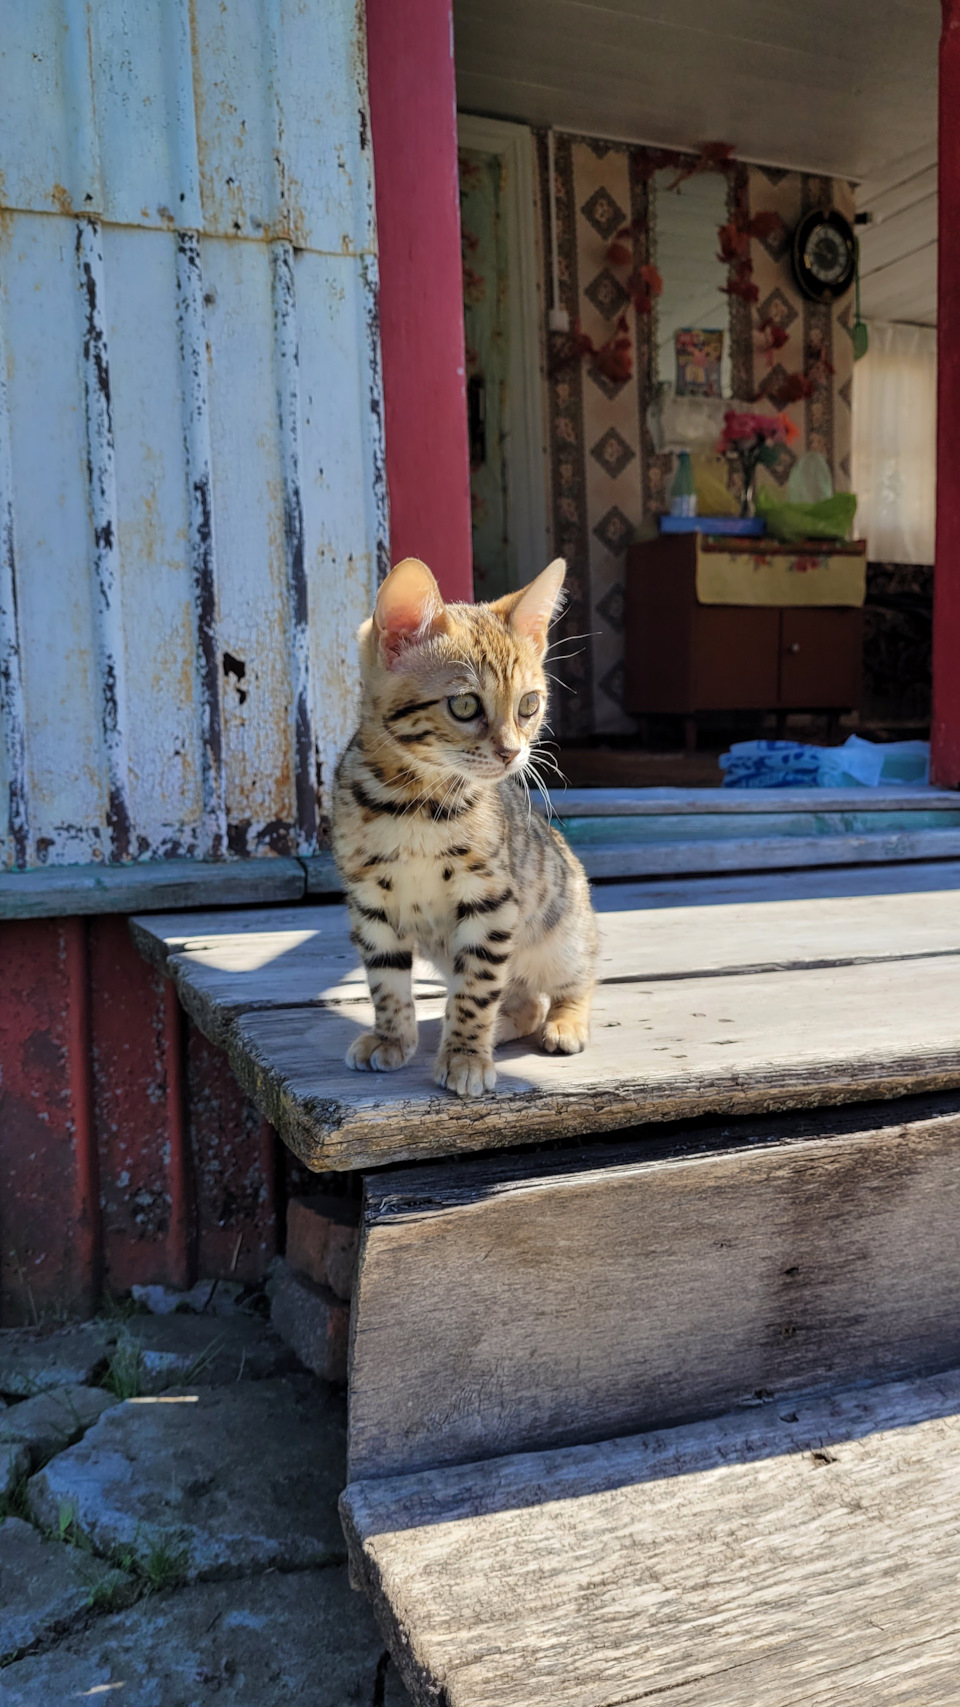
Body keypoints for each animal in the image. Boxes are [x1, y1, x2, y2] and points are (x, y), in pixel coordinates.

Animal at [333, 553, 594, 1099]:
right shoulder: (368, 900)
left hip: (562, 929)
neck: (413, 805)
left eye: (529, 705)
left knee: (572, 981)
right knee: (521, 1001)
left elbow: (477, 986)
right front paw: (391, 1037)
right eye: (465, 704)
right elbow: (385, 979)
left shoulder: (491, 899)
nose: (513, 752)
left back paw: (564, 1023)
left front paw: (466, 1056)